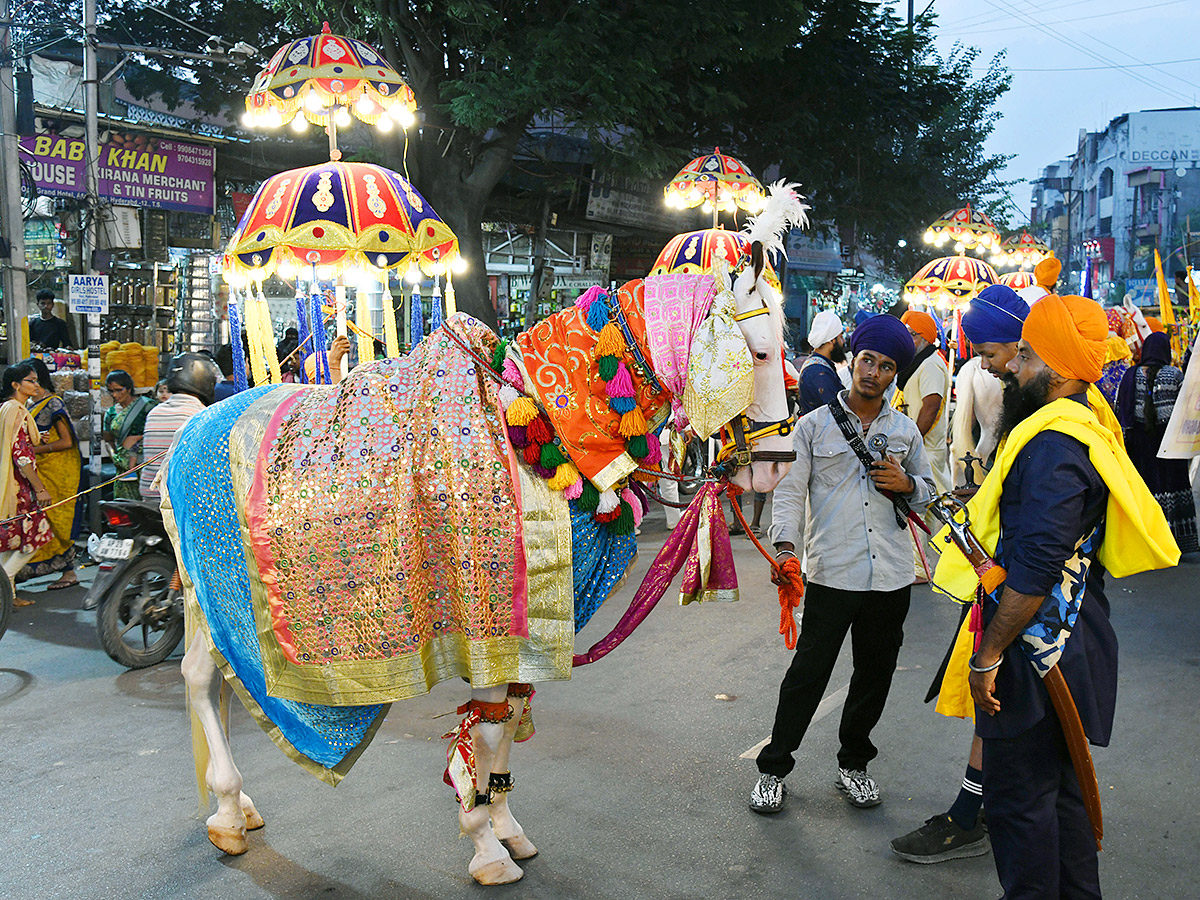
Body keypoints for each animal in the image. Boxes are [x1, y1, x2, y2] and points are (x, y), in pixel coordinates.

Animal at [166, 187, 806, 883]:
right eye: (761, 352)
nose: (776, 465)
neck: (549, 426)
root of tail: (195, 423)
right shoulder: (491, 626)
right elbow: (491, 727)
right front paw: (484, 844)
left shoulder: (538, 631)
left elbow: (511, 718)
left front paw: (503, 822)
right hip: (212, 589)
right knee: (199, 678)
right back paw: (227, 810)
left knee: (212, 679)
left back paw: (238, 808)